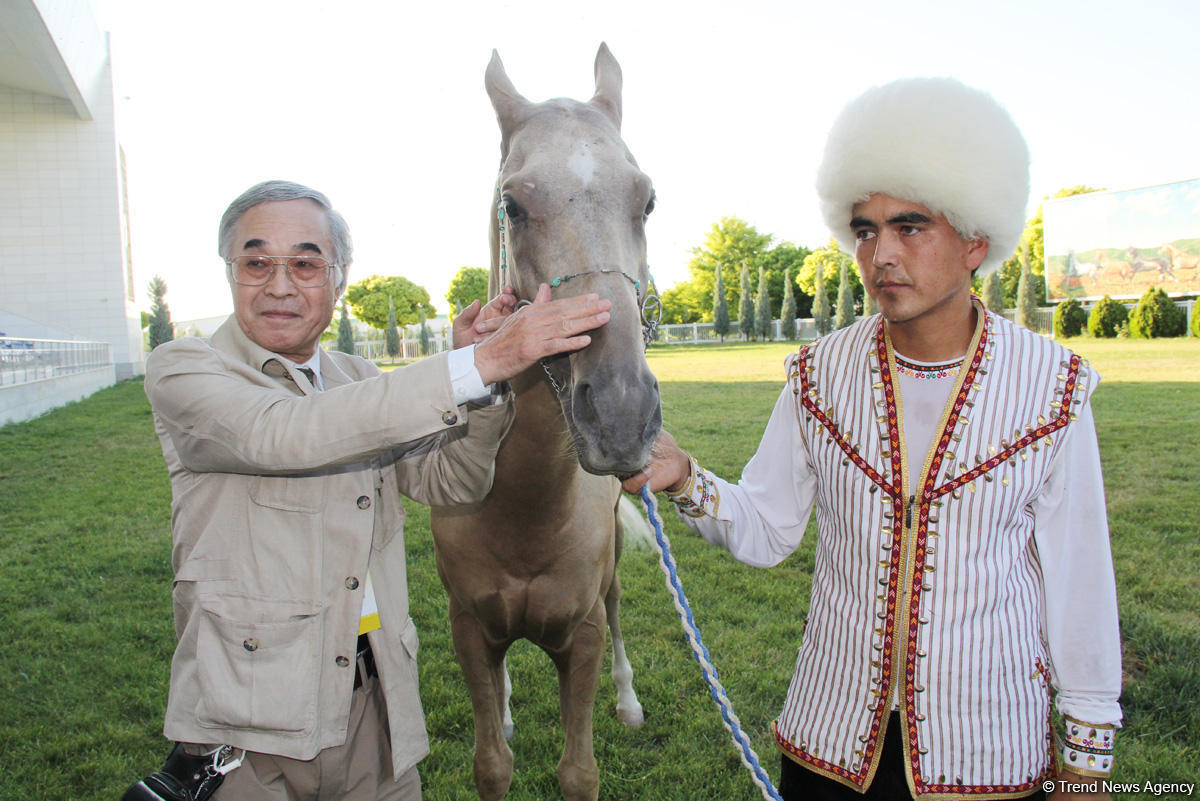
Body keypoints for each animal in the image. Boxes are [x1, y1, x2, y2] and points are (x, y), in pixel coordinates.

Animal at [427, 45, 662, 801]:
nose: (621, 414)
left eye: (646, 199)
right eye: (514, 205)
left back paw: (630, 701)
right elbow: (492, 762)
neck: (523, 511)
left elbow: (578, 771)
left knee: (619, 608)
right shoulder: (468, 629)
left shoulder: (580, 635)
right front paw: (498, 719)